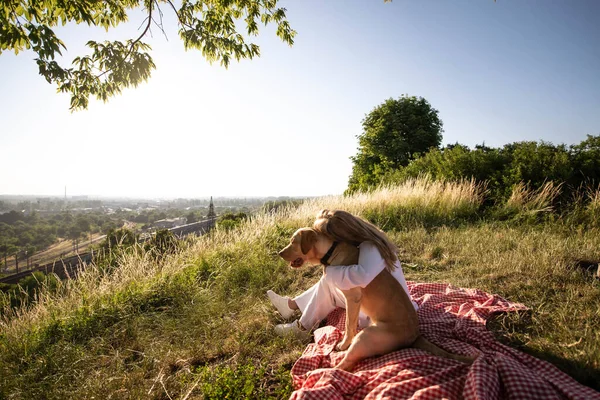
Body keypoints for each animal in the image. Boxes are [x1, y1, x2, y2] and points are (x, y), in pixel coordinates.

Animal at [278, 227, 476, 370]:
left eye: (293, 242)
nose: (279, 253)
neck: (330, 250)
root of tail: (416, 335)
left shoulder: (352, 298)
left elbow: (349, 325)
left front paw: (343, 343)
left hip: (366, 336)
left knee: (344, 366)